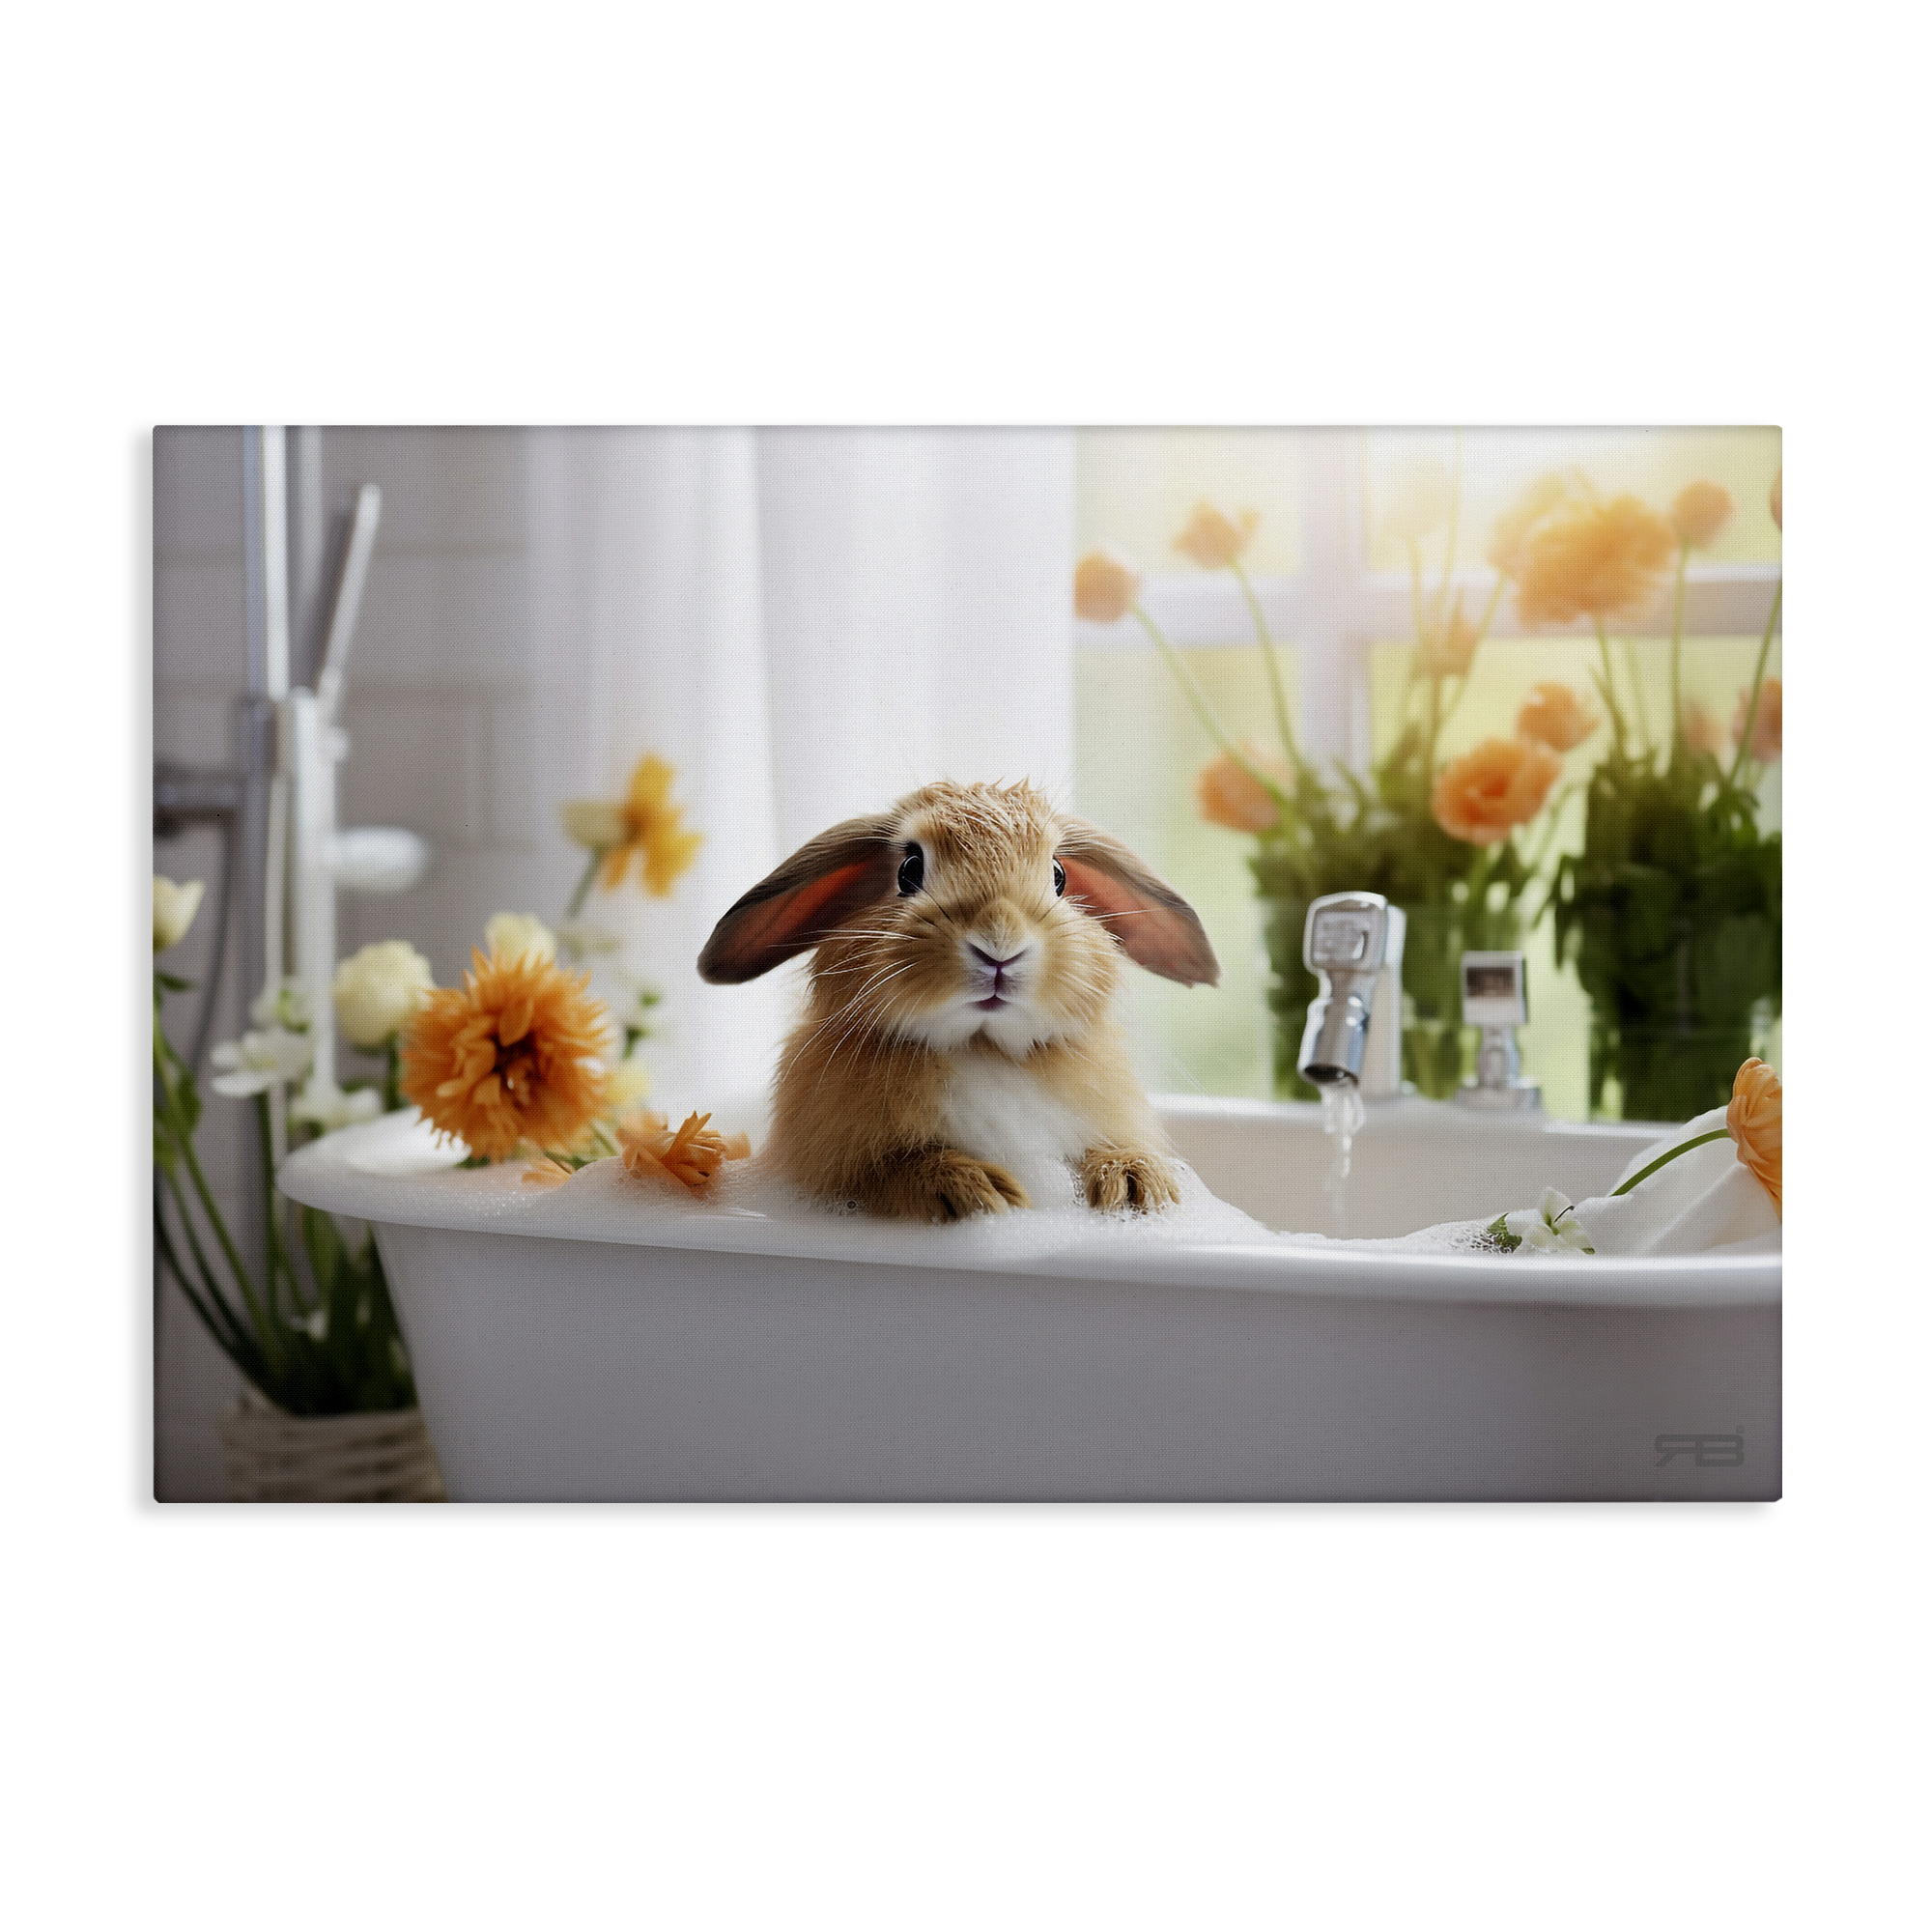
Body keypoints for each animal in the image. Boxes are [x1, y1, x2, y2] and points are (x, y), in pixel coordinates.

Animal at [697, 779, 1219, 1222]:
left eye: (1059, 876)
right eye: (909, 870)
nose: (1000, 941)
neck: (981, 1046)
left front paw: (1133, 1184)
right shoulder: (844, 1168)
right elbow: (893, 1171)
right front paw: (975, 1189)